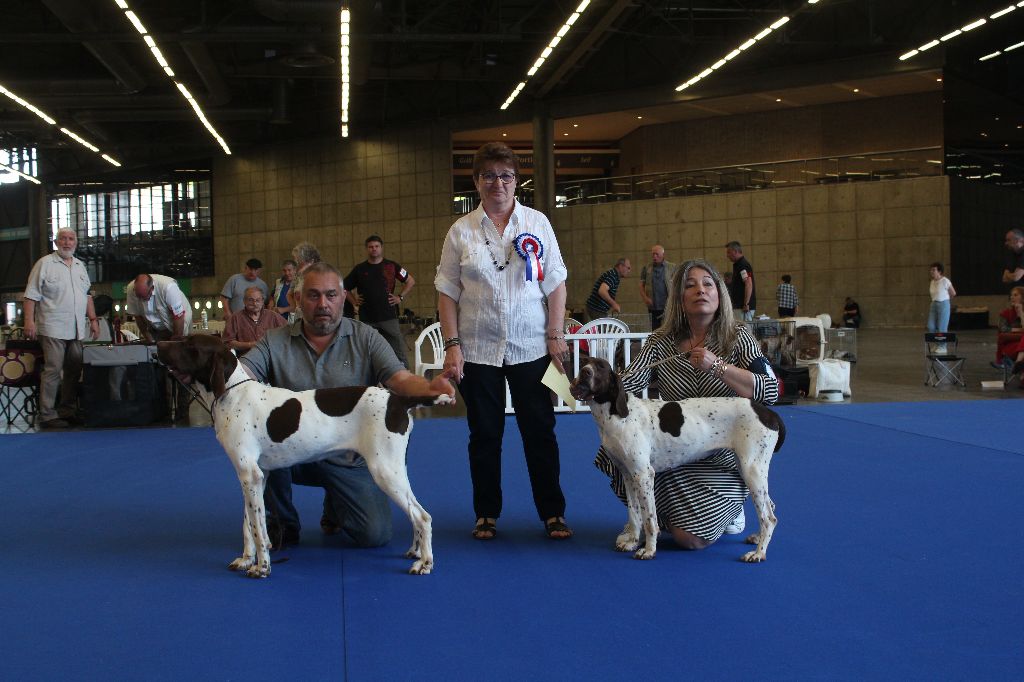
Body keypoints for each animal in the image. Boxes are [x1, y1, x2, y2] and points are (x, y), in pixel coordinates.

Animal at [156, 334, 451, 577]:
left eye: (190, 345)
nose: (158, 345)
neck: (232, 392)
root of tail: (399, 400)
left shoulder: (249, 474)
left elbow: (257, 528)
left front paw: (262, 567)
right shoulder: (256, 476)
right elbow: (248, 523)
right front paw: (246, 559)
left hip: (385, 471)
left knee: (422, 517)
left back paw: (425, 563)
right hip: (395, 469)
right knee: (415, 514)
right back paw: (415, 551)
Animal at [570, 356, 785, 562]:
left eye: (600, 367)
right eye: (584, 362)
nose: (585, 372)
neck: (615, 414)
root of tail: (768, 413)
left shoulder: (644, 475)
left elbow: (649, 519)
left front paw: (649, 550)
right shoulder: (628, 474)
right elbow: (634, 513)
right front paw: (632, 541)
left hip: (752, 470)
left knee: (769, 518)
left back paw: (758, 553)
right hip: (747, 469)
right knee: (770, 507)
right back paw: (757, 538)